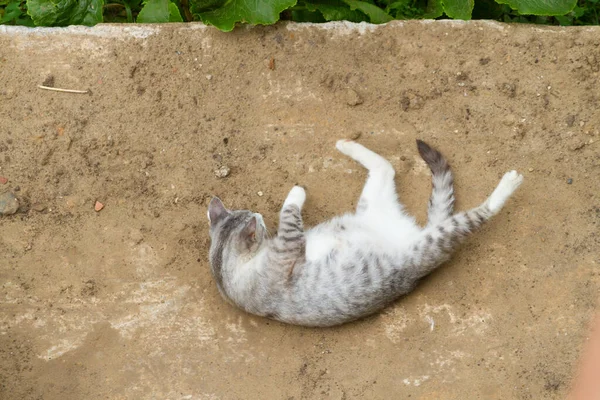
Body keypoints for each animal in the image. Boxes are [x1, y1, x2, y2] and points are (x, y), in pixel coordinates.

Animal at [207, 139, 524, 326]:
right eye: (259, 222)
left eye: (254, 214)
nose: (260, 216)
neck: (229, 276)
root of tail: (407, 231)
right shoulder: (286, 248)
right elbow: (289, 210)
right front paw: (296, 192)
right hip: (434, 240)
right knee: (480, 213)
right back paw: (508, 184)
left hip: (374, 199)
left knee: (386, 167)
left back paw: (347, 145)